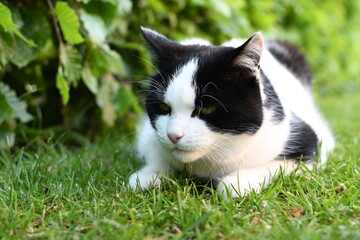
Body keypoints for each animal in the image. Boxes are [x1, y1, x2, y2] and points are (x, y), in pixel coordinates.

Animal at [129, 27, 334, 198]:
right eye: (163, 107)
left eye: (207, 108)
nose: (173, 135)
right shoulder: (148, 134)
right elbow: (156, 152)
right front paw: (148, 175)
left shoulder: (307, 141)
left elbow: (277, 164)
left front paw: (237, 182)